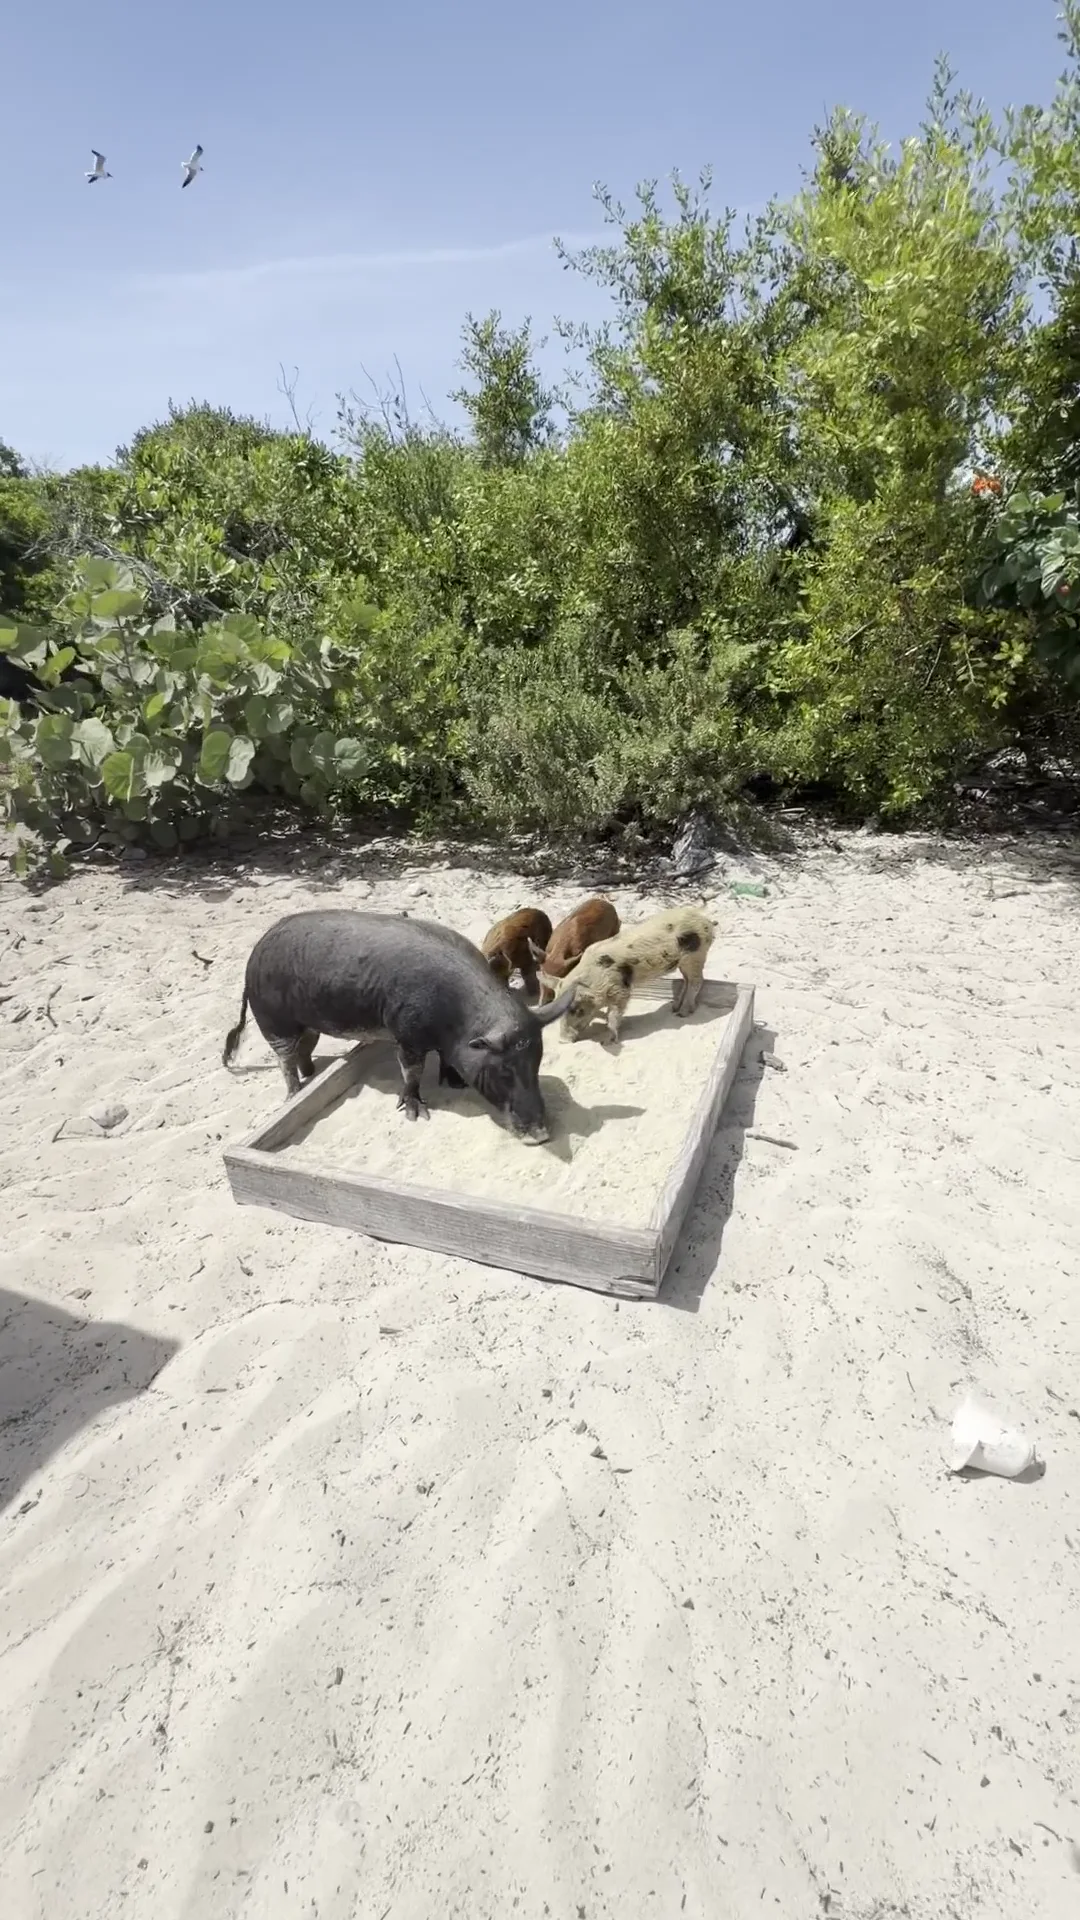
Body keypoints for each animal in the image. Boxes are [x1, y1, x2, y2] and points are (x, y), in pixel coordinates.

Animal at [222, 909, 575, 1143]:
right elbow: (411, 1072)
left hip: (306, 1024)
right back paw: (294, 1094)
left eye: (537, 1062)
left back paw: (311, 1077)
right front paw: (417, 1113)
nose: (542, 1136)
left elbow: (447, 1061)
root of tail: (252, 959)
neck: (454, 1021)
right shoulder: (406, 1034)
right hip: (273, 1019)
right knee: (284, 1060)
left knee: (304, 1049)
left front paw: (455, 1083)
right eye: (504, 1072)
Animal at [557, 905, 716, 1043]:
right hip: (685, 961)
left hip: (696, 955)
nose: (563, 1041)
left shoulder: (619, 989)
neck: (595, 976)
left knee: (697, 981)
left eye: (577, 1010)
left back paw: (682, 1013)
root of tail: (706, 920)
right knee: (687, 980)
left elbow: (614, 1014)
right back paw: (674, 1008)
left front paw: (608, 1041)